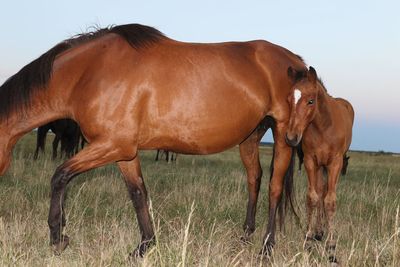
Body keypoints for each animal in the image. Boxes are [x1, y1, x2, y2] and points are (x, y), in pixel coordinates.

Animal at [0, 23, 308, 258]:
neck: (89, 72)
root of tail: (295, 60)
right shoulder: (124, 152)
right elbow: (138, 193)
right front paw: (144, 246)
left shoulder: (111, 145)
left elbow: (60, 176)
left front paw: (57, 237)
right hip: (249, 138)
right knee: (254, 180)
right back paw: (245, 237)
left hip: (284, 136)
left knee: (274, 188)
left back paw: (267, 248)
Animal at [284, 67, 354, 264]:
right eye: (288, 100)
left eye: (311, 101)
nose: (291, 138)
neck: (323, 127)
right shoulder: (311, 161)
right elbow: (313, 198)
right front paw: (308, 240)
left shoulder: (335, 163)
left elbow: (330, 201)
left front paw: (331, 249)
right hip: (320, 166)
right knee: (321, 191)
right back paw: (318, 232)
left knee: (326, 193)